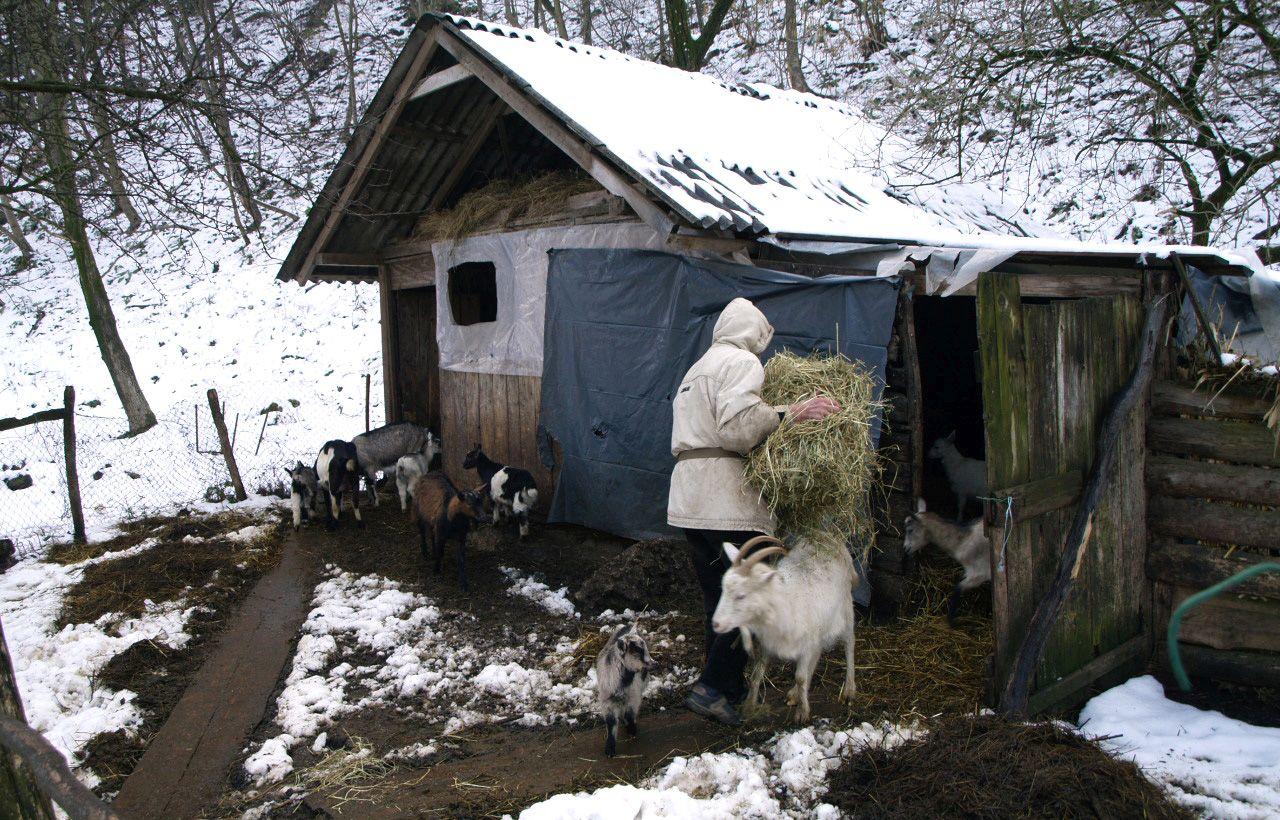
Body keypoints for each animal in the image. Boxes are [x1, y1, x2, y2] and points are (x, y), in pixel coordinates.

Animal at [716, 537, 855, 721]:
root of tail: (830, 538)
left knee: (849, 645)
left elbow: (800, 677)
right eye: (723, 589)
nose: (716, 623)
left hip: (846, 610)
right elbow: (756, 674)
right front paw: (749, 707)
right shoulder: (768, 643)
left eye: (741, 595)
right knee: (817, 654)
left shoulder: (806, 644)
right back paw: (795, 694)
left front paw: (802, 713)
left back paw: (849, 690)